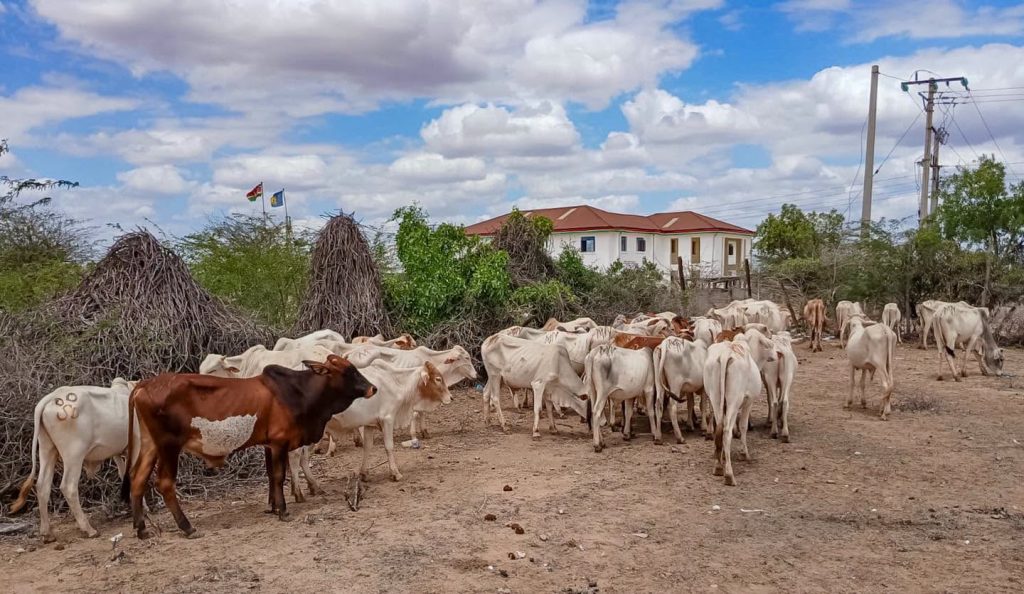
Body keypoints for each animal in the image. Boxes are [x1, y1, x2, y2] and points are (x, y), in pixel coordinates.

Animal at [10, 378, 137, 542]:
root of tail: (51, 397)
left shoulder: (117, 452)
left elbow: (124, 475)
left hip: (46, 449)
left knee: (42, 485)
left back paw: (47, 533)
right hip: (74, 455)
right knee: (68, 486)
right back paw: (89, 529)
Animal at [124, 355, 376, 539]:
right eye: (349, 371)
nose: (373, 388)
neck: (298, 391)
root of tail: (144, 385)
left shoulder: (268, 445)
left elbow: (270, 475)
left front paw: (272, 507)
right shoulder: (279, 443)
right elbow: (279, 476)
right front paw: (283, 510)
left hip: (150, 445)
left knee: (138, 479)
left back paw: (141, 529)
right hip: (169, 446)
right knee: (165, 483)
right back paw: (187, 527)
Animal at [704, 333, 776, 486]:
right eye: (769, 345)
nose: (776, 355)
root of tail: (726, 354)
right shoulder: (748, 401)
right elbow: (743, 426)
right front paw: (744, 453)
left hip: (715, 398)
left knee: (719, 428)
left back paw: (718, 466)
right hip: (734, 400)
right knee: (726, 432)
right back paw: (729, 475)